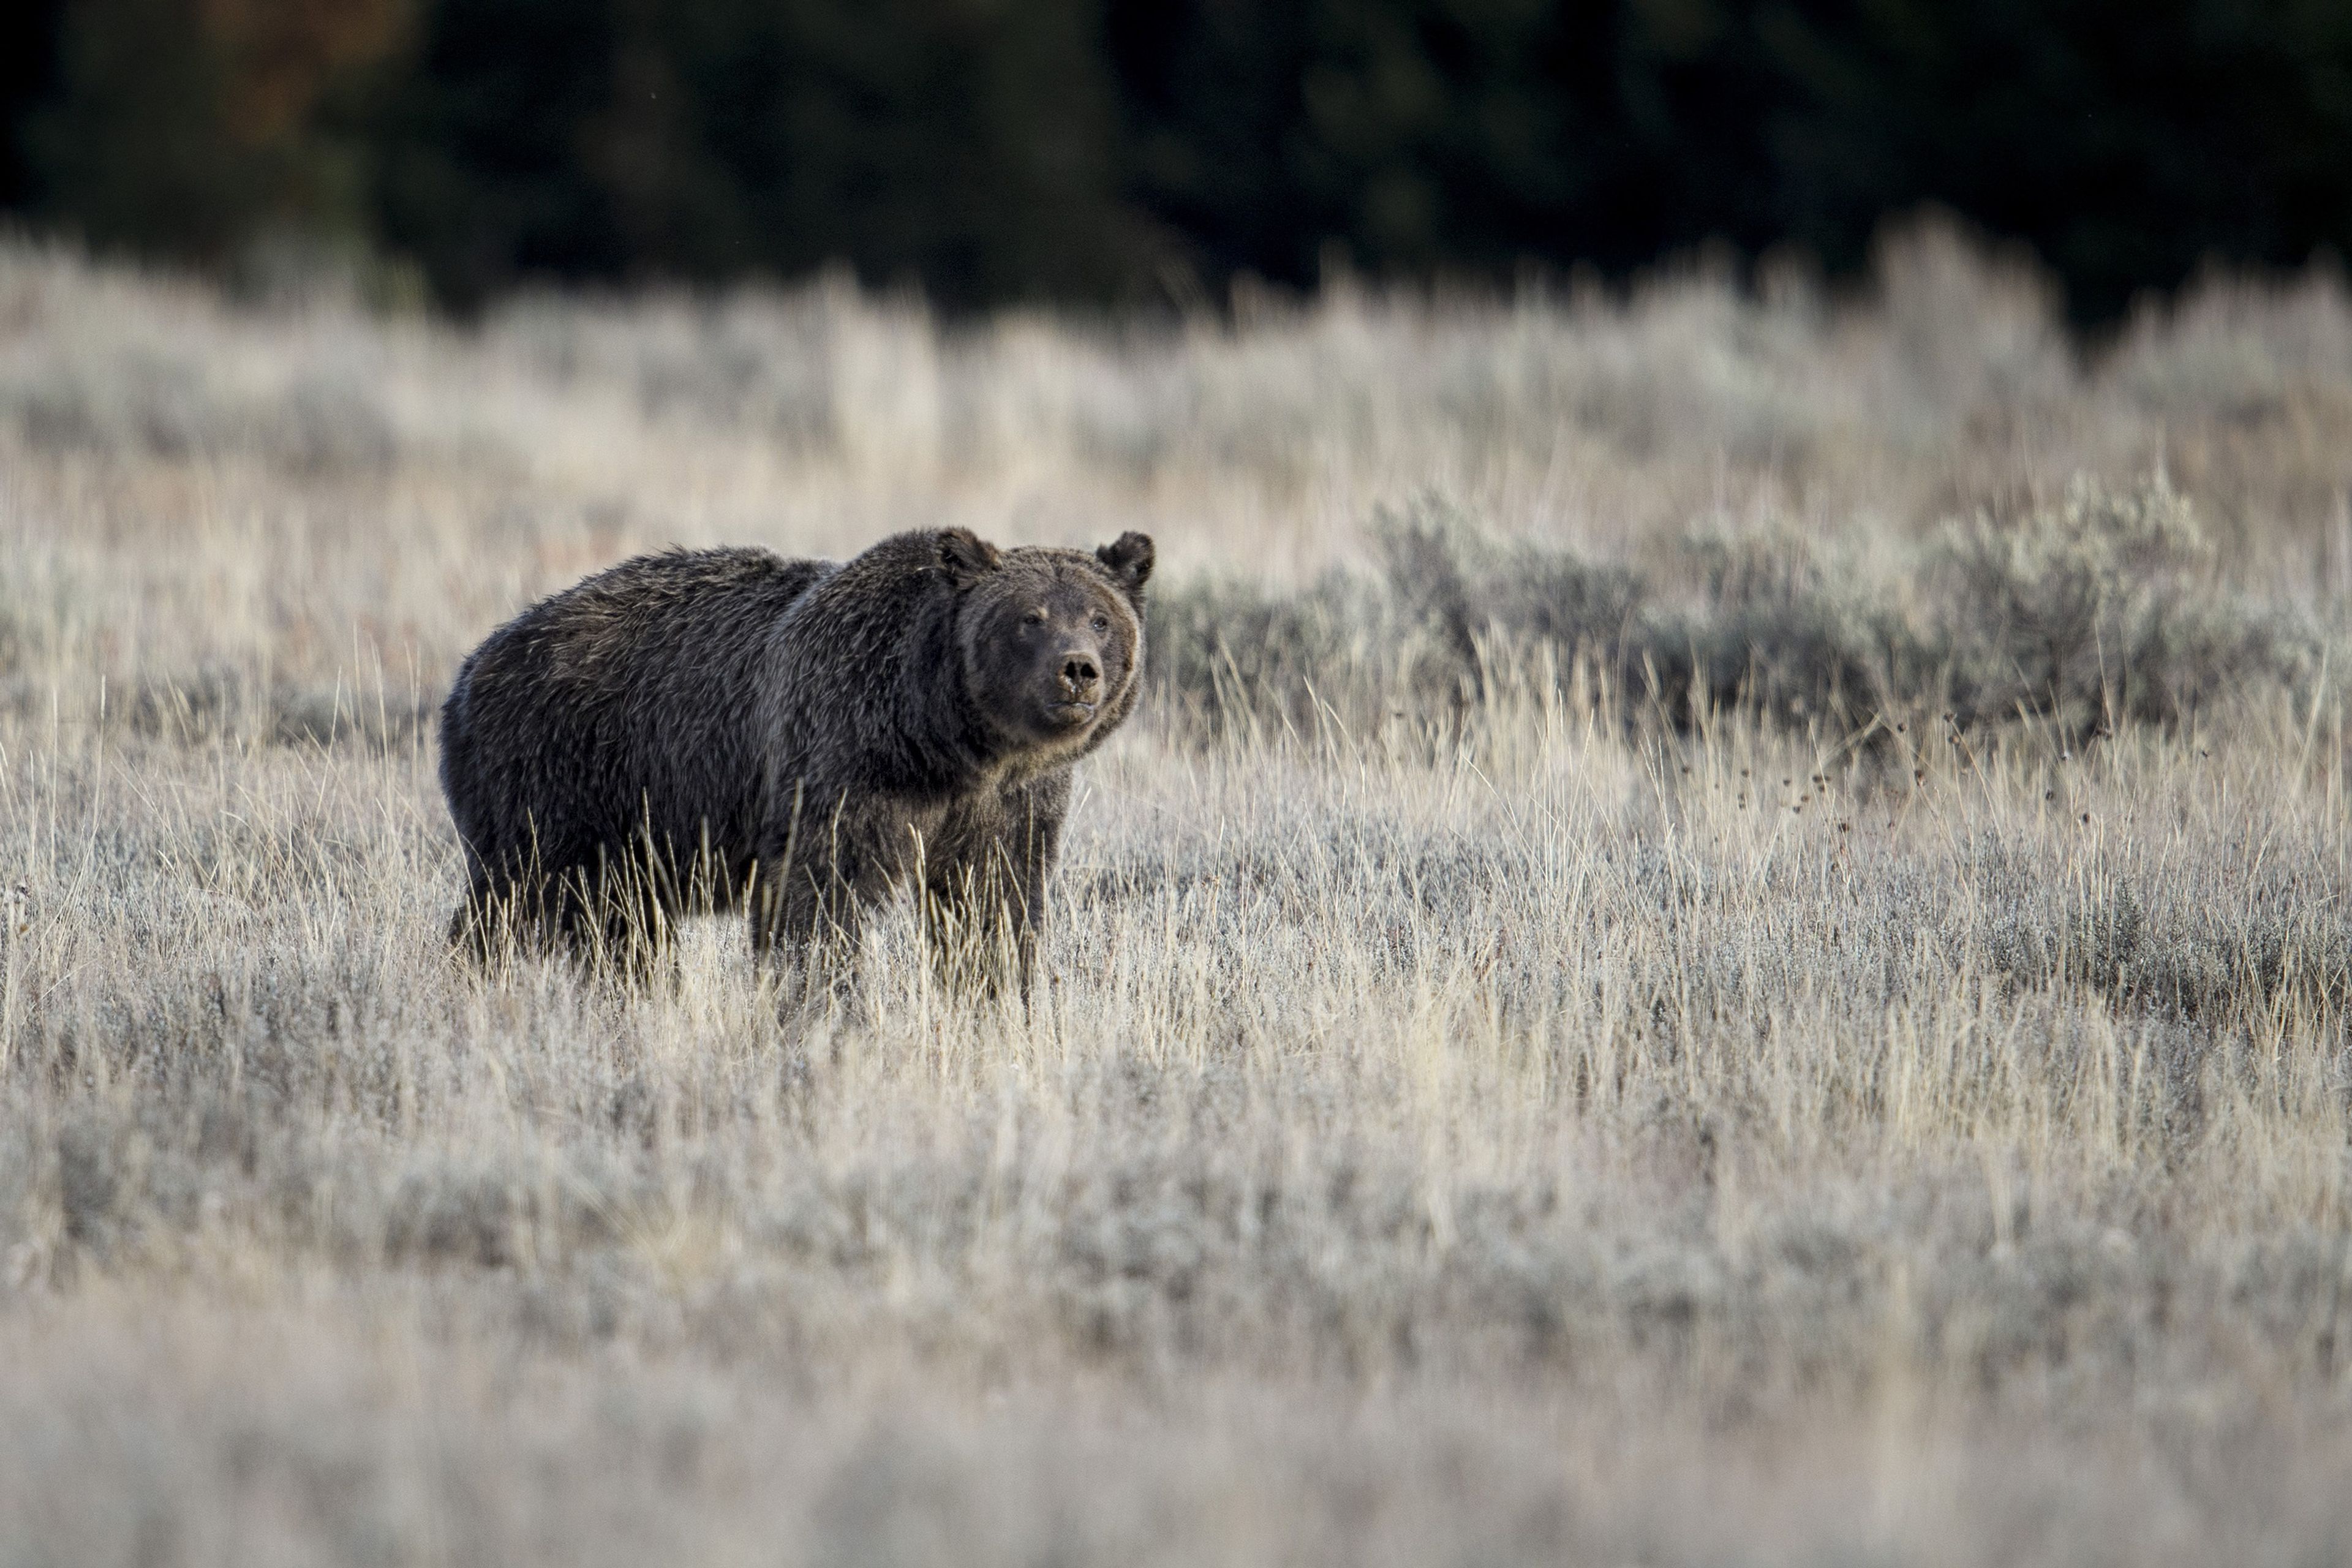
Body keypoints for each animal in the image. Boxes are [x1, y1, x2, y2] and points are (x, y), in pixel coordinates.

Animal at [437, 526, 1152, 992]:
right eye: (1030, 617)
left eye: (1099, 618)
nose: (1077, 670)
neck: (946, 740)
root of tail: (470, 670)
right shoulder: (842, 759)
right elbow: (819, 898)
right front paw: (824, 1003)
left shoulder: (1006, 801)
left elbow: (991, 903)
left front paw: (996, 993)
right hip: (558, 776)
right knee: (514, 902)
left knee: (625, 931)